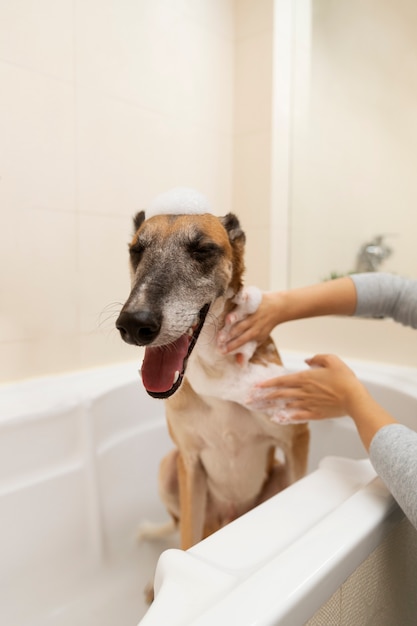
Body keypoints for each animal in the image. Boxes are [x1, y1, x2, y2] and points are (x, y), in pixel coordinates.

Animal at [114, 189, 308, 556]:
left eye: (202, 249)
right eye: (136, 250)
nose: (133, 324)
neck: (215, 368)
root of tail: (227, 522)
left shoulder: (295, 443)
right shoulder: (190, 463)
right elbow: (187, 538)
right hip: (170, 470)